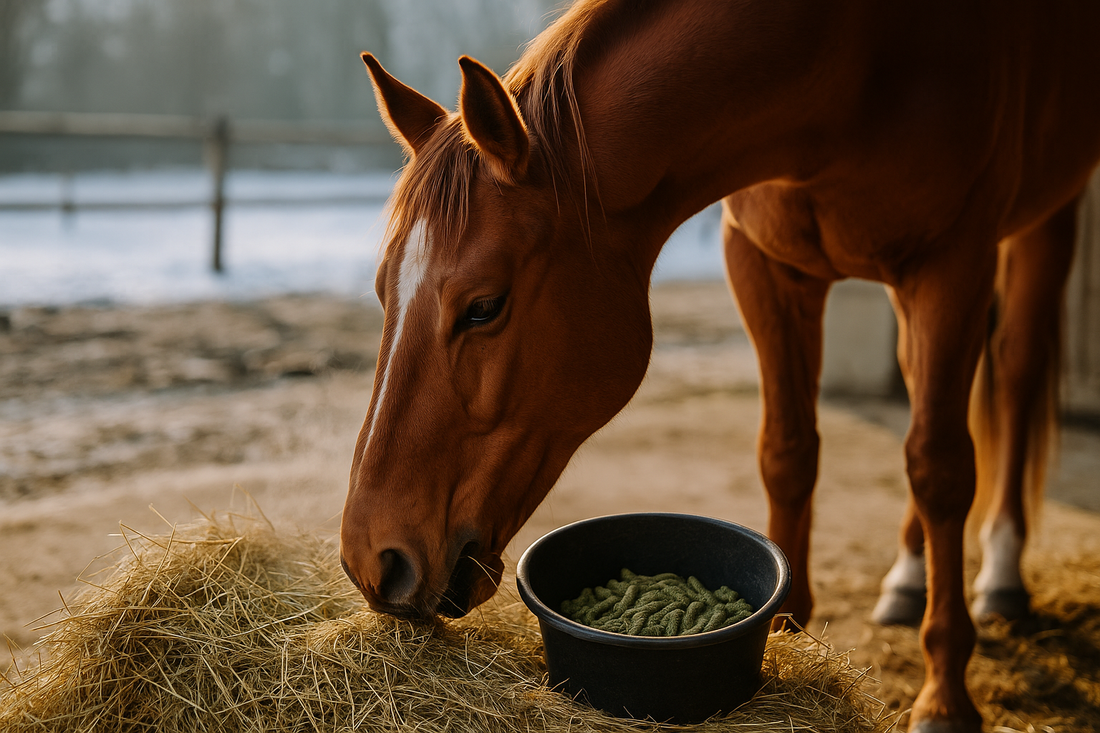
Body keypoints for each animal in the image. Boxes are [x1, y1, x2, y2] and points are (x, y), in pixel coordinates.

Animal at [339, 1, 1100, 730]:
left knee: (1014, 375)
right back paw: (909, 577)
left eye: (484, 306)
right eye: (381, 291)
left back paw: (1000, 573)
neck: (849, 56)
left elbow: (940, 470)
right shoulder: (764, 265)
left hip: (1045, 220)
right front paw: (789, 622)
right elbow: (788, 452)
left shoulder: (951, 264)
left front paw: (944, 697)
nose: (373, 559)